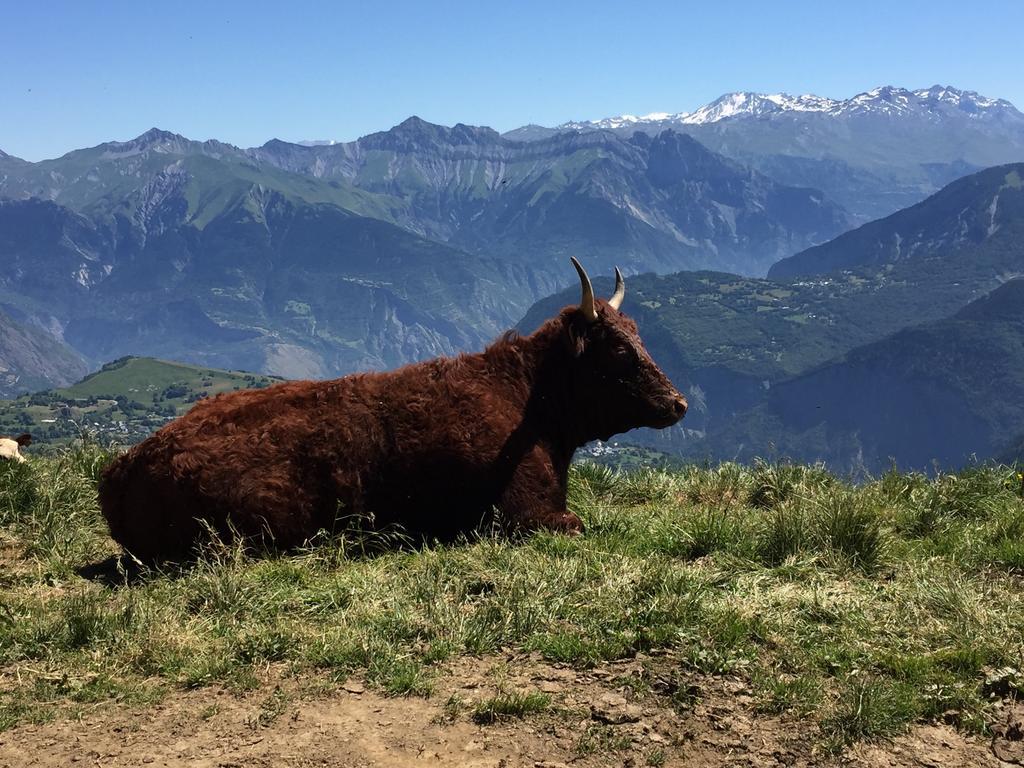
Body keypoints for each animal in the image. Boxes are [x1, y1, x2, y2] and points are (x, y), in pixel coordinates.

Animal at [97, 262, 688, 561]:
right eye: (619, 351)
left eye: (640, 336)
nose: (679, 403)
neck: (528, 403)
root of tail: (125, 464)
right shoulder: (528, 515)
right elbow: (580, 525)